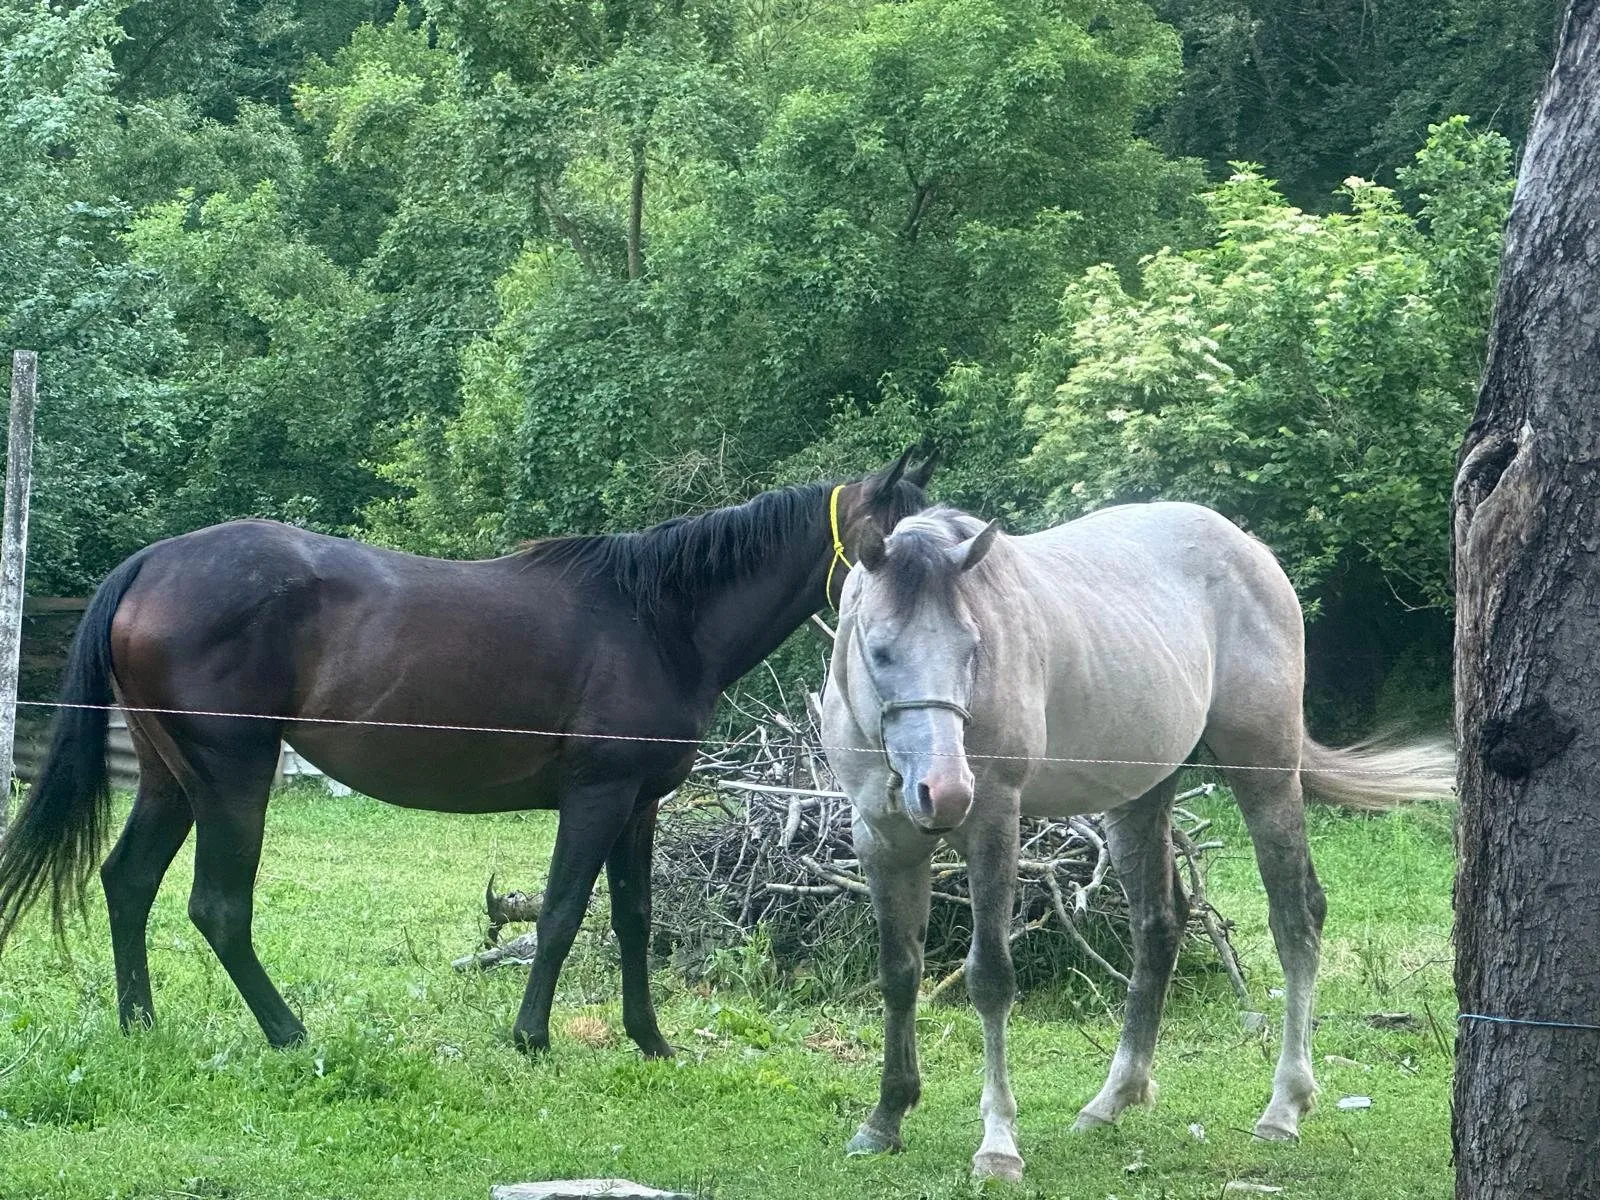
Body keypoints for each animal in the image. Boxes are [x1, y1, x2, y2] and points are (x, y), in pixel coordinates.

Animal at [0, 450, 935, 1055]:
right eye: (900, 542)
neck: (660, 620)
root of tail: (152, 564)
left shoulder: (638, 804)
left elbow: (633, 920)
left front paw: (650, 1040)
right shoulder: (596, 797)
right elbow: (561, 914)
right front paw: (530, 1036)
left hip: (170, 778)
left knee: (128, 882)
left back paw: (141, 1027)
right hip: (233, 776)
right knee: (219, 908)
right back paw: (289, 1033)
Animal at [821, 502, 1454, 1181]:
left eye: (972, 647)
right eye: (879, 649)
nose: (945, 792)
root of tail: (1251, 549)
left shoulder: (994, 824)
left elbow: (989, 976)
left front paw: (997, 1143)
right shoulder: (882, 839)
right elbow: (898, 973)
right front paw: (884, 1119)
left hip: (1265, 772)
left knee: (1296, 917)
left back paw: (1283, 1107)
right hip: (1141, 798)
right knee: (1159, 925)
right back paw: (1112, 1099)